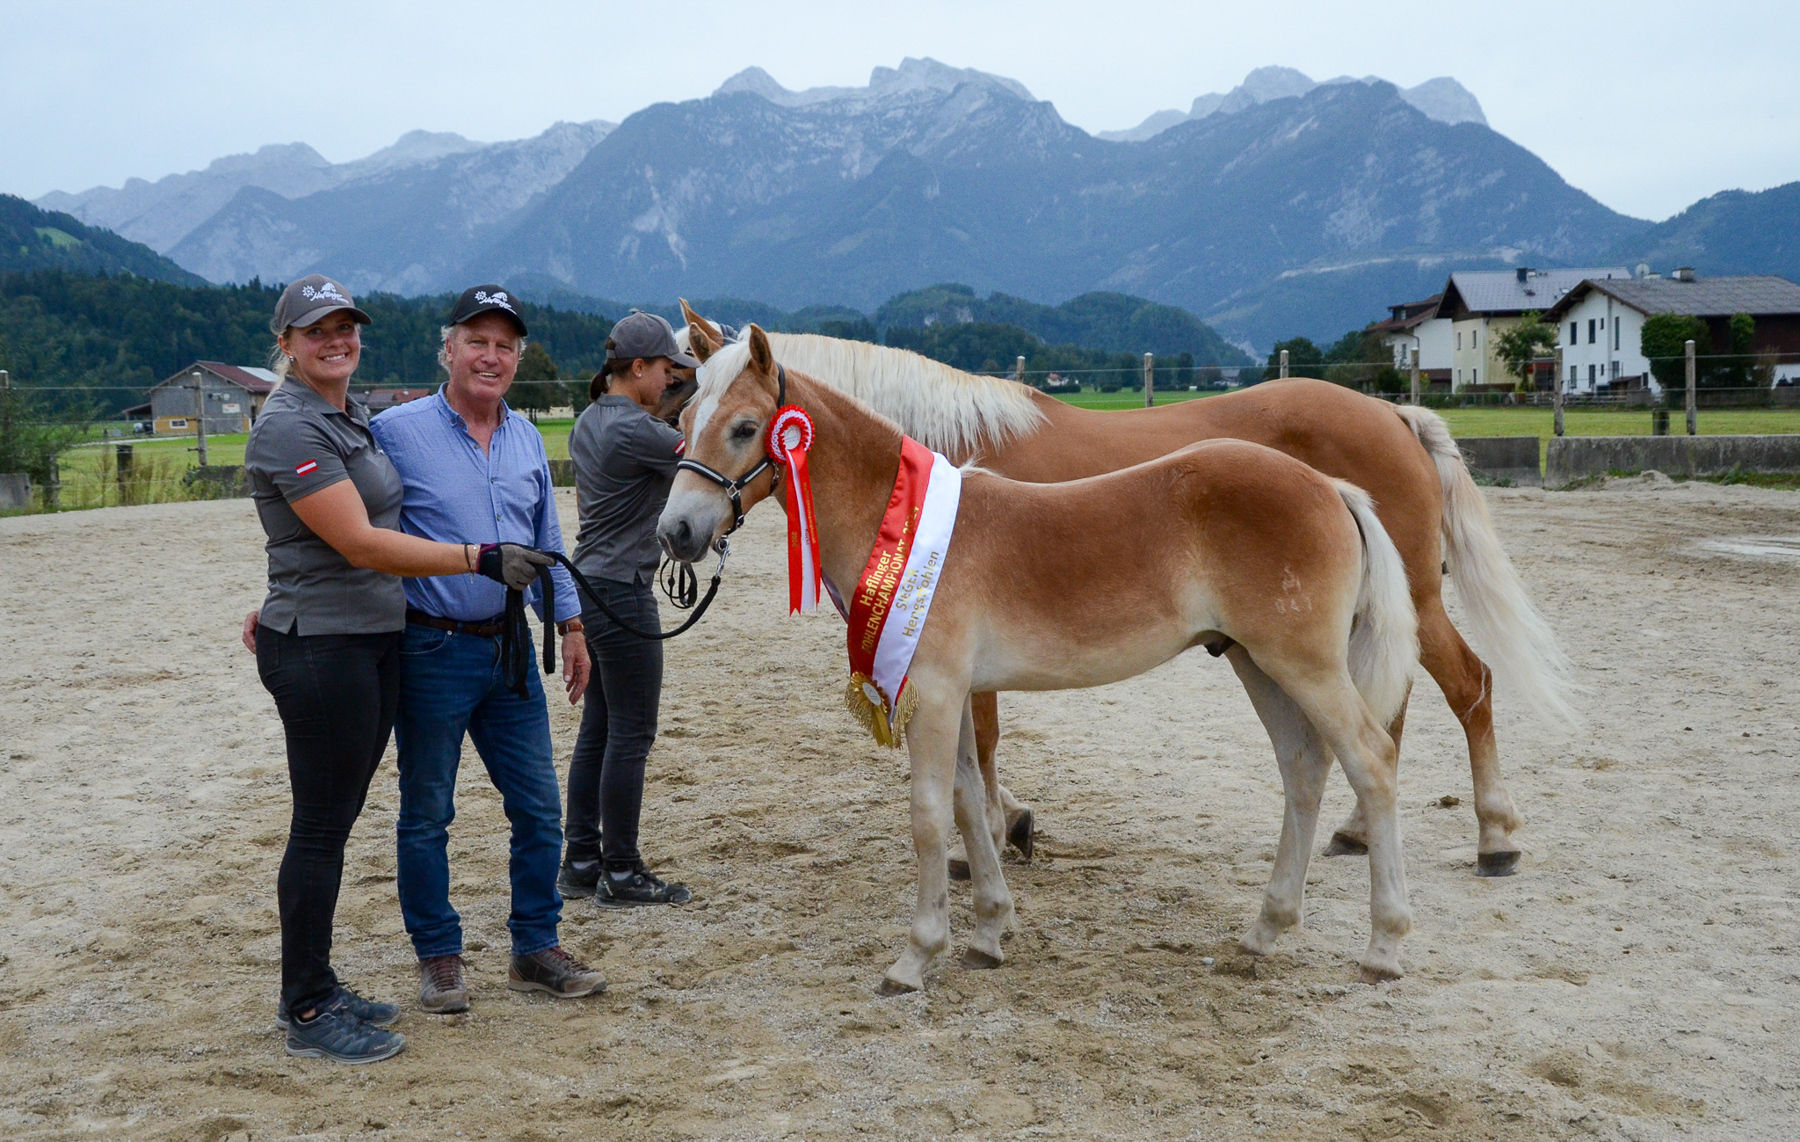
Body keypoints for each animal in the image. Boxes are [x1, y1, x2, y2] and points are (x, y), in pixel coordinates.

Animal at [658, 324, 1418, 994]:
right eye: (685, 416)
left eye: (746, 427)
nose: (677, 532)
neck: (904, 523)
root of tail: (1330, 488)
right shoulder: (955, 694)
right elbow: (969, 802)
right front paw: (990, 932)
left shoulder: (935, 692)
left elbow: (929, 814)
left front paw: (915, 957)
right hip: (1257, 662)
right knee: (1303, 767)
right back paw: (1263, 931)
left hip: (1304, 664)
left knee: (1371, 759)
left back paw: (1382, 947)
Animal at [676, 300, 1576, 871]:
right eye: (684, 416)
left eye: (744, 425)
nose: (678, 528)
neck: (922, 462)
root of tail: (1392, 414)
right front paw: (1006, 826)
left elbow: (984, 740)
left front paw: (989, 836)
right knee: (1389, 707)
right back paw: (1359, 831)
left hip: (1412, 601)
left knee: (1468, 687)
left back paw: (1497, 836)